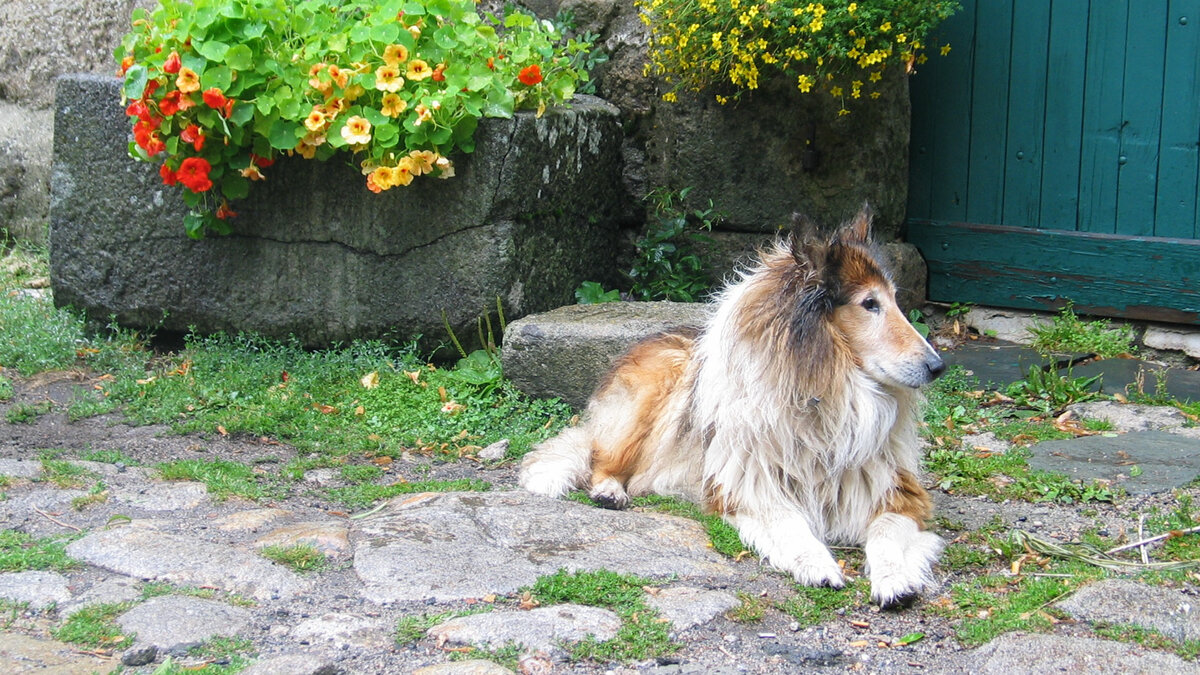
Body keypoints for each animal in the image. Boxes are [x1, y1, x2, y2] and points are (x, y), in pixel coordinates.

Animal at [520, 205, 950, 605]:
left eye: (894, 300)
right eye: (869, 304)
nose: (938, 367)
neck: (825, 392)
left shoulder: (898, 492)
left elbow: (887, 536)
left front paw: (894, 580)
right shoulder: (750, 487)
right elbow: (792, 526)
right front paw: (818, 565)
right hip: (652, 392)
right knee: (601, 459)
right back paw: (609, 491)